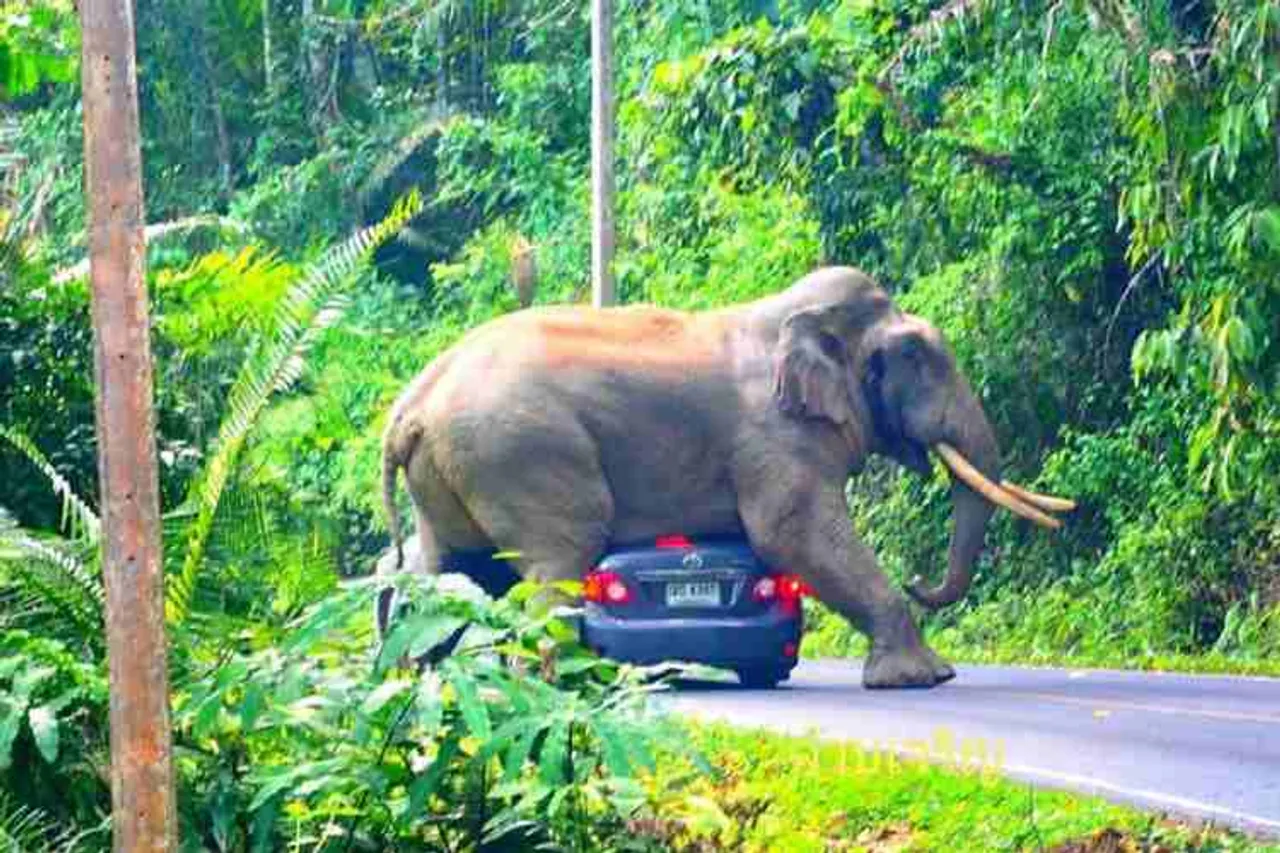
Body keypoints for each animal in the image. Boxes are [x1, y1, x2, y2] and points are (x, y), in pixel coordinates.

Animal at [376, 266, 1070, 686]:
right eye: (916, 355)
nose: (921, 583)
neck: (790, 316)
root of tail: (411, 405)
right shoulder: (774, 437)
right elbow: (792, 535)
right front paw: (923, 678)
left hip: (454, 470)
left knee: (449, 565)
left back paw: (417, 677)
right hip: (520, 454)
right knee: (557, 557)